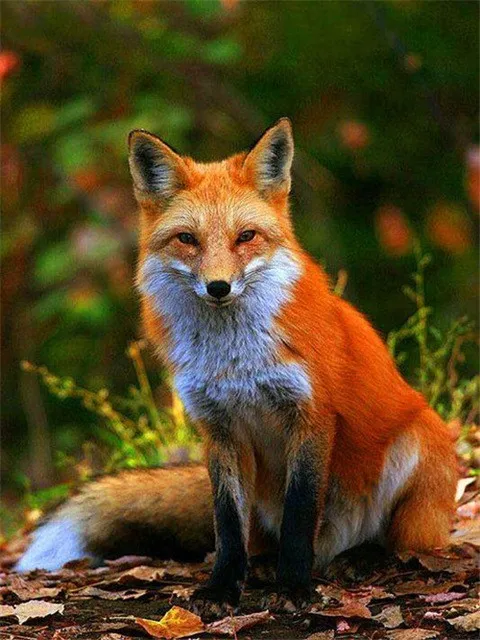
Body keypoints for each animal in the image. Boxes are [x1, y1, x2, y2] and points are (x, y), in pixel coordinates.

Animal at [17, 119, 457, 612]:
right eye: (187, 239)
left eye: (245, 236)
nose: (218, 287)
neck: (234, 362)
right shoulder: (219, 428)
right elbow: (227, 525)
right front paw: (223, 587)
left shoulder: (311, 416)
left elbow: (300, 515)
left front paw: (294, 586)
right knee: (257, 537)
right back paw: (264, 565)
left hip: (415, 450)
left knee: (402, 545)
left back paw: (361, 557)